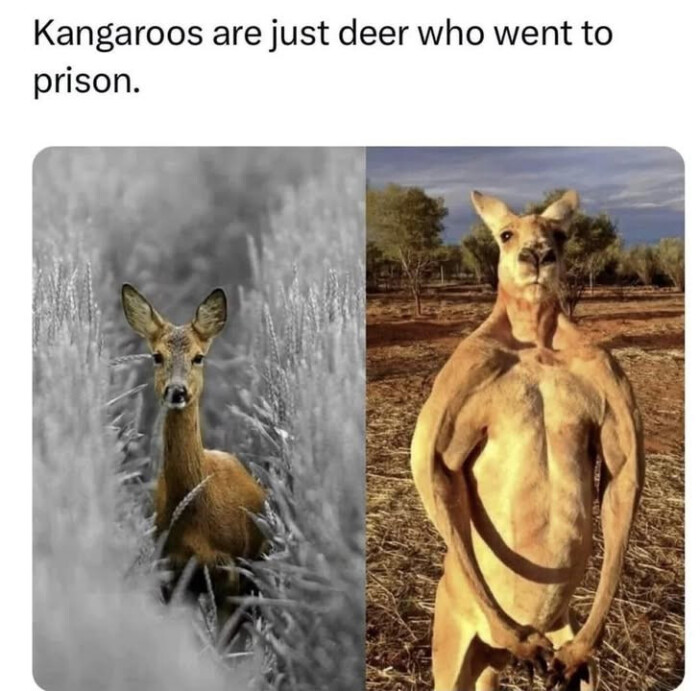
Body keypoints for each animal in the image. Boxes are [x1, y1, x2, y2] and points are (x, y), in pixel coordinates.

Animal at [411, 190, 644, 690]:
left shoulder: (607, 372)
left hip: (550, 642)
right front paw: (517, 636)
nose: (537, 255)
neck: (537, 340)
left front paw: (582, 647)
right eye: (505, 234)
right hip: (452, 642)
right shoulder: (465, 371)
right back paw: (518, 638)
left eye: (560, 234)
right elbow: (434, 467)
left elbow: (622, 474)